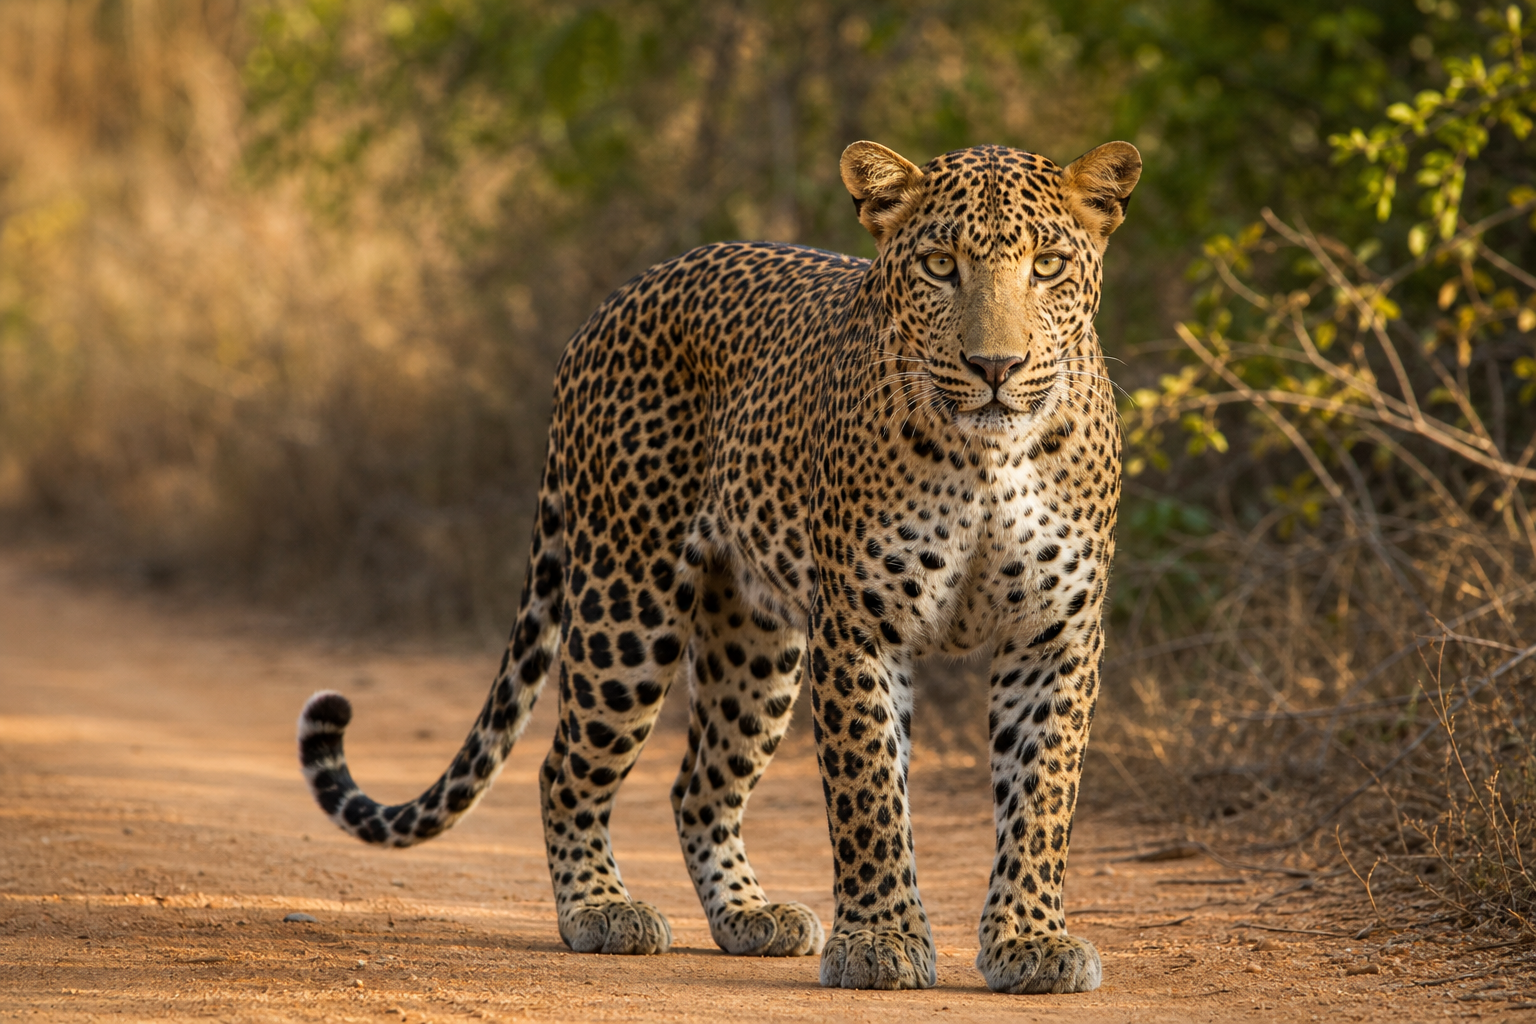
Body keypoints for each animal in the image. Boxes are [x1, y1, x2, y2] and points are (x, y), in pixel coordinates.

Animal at [296, 138, 1140, 994]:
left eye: (1048, 265)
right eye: (940, 265)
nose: (996, 364)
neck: (990, 456)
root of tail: (613, 302)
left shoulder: (1056, 636)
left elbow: (1041, 795)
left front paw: (1031, 941)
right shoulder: (859, 627)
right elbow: (868, 791)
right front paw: (880, 940)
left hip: (753, 641)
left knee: (698, 787)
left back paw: (748, 914)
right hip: (628, 605)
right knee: (564, 767)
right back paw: (601, 909)